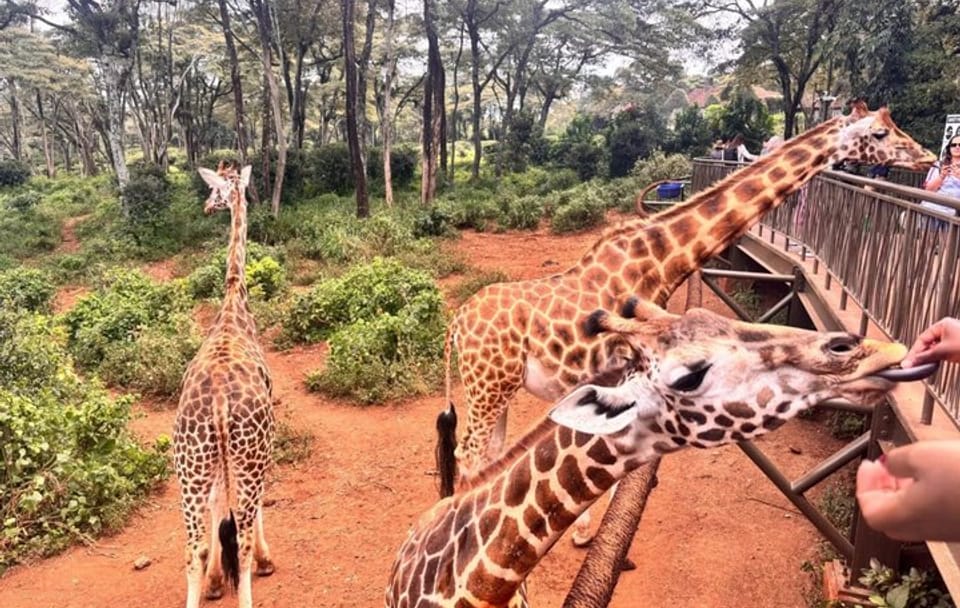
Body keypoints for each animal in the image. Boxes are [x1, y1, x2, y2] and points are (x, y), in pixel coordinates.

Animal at [442, 104, 935, 544]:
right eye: (880, 134)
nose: (928, 157)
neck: (658, 260)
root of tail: (455, 325)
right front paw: (585, 532)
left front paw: (584, 527)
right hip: (487, 386)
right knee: (467, 456)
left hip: (500, 387)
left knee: (485, 458)